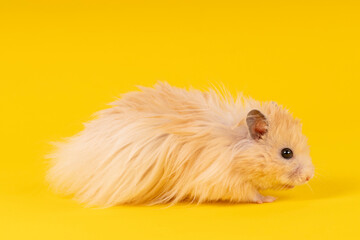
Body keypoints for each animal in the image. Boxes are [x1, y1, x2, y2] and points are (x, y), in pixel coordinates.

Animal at [46, 82, 314, 206]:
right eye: (286, 153)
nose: (310, 177)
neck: (235, 146)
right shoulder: (222, 179)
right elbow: (249, 193)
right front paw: (269, 199)